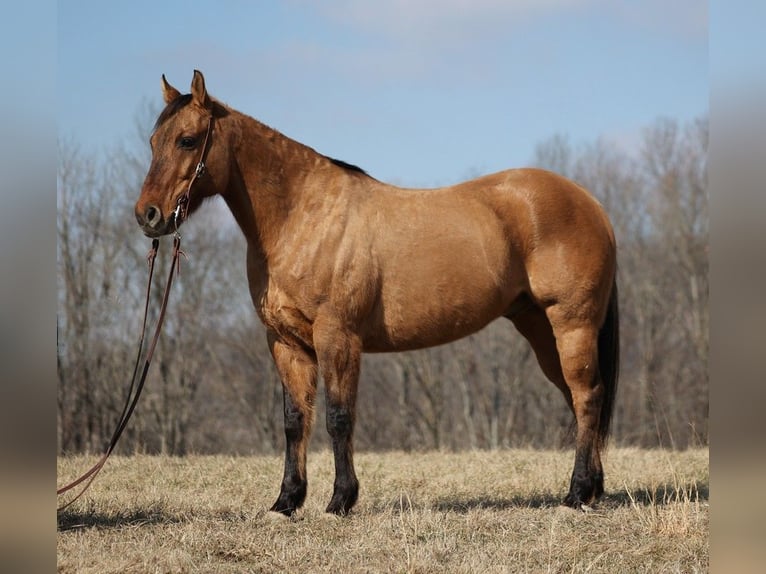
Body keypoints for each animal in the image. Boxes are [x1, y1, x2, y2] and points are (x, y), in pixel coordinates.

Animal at [135, 71, 620, 516]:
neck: (303, 215)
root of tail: (592, 205)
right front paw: (286, 503)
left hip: (571, 325)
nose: (148, 215)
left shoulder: (337, 337)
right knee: (579, 400)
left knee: (586, 396)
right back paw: (592, 491)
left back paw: (576, 494)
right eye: (153, 140)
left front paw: (339, 501)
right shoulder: (286, 342)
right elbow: (295, 421)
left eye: (187, 140)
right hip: (539, 328)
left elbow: (338, 417)